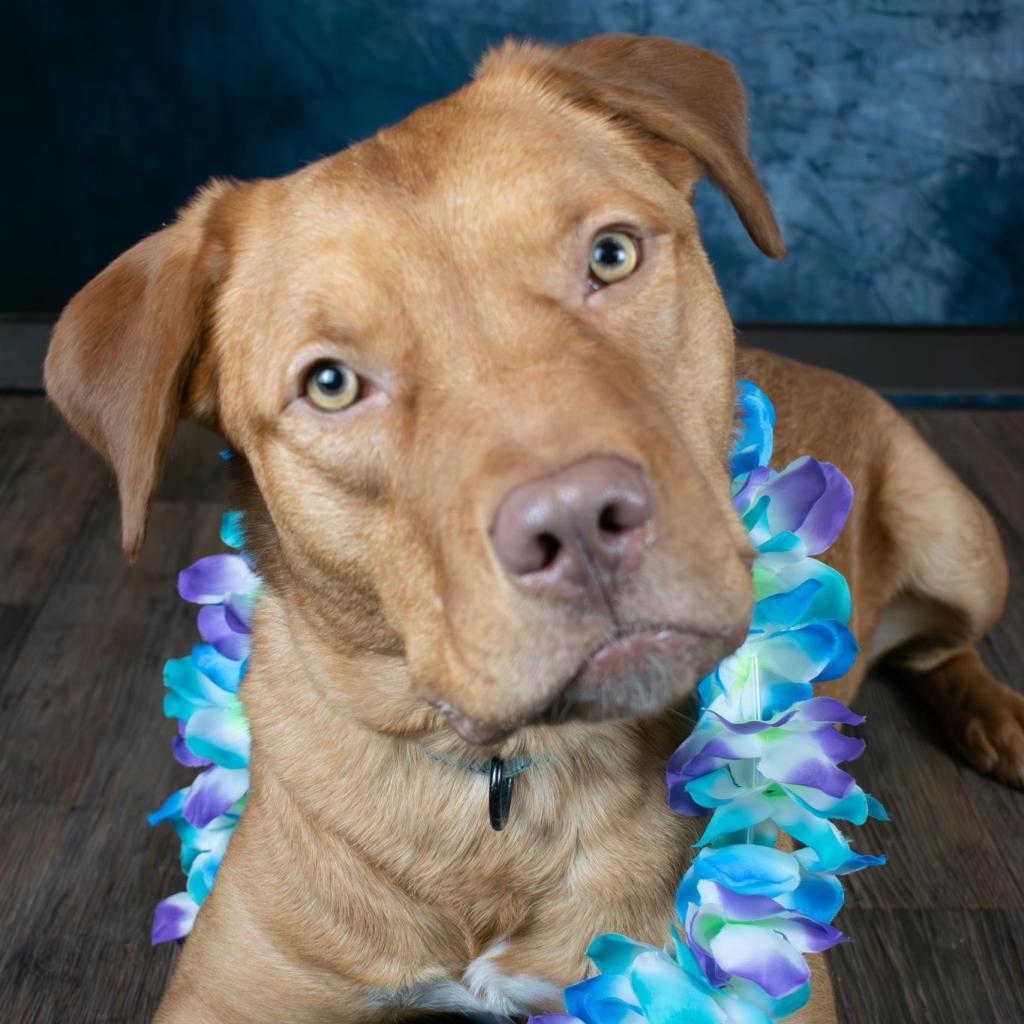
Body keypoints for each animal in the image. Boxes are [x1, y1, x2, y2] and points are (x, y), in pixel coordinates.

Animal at [44, 32, 1019, 1024]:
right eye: (331, 383)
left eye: (612, 255)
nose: (580, 525)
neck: (498, 789)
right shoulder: (230, 989)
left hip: (957, 541)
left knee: (945, 648)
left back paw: (999, 720)